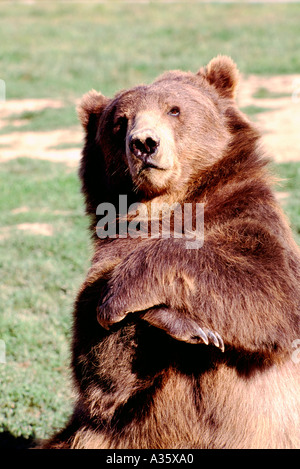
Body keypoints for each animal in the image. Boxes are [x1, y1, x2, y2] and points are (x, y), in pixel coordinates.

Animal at [41, 56, 300, 448]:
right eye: (119, 122)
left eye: (174, 109)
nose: (144, 143)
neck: (169, 205)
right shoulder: (108, 253)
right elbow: (100, 368)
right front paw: (184, 324)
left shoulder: (249, 215)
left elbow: (268, 287)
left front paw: (137, 299)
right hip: (113, 435)